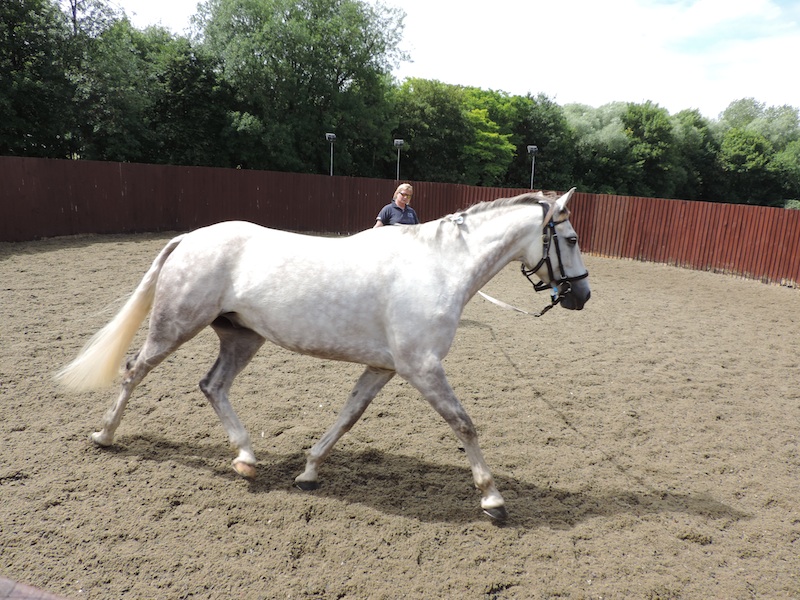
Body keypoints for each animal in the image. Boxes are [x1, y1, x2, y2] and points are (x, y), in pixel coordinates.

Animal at [56, 188, 590, 521]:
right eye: (570, 239)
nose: (581, 296)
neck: (438, 268)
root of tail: (191, 237)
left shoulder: (383, 368)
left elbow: (347, 418)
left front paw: (309, 472)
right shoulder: (422, 367)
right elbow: (464, 424)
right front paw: (493, 500)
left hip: (242, 337)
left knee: (212, 386)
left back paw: (246, 457)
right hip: (175, 326)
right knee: (133, 371)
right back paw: (104, 435)